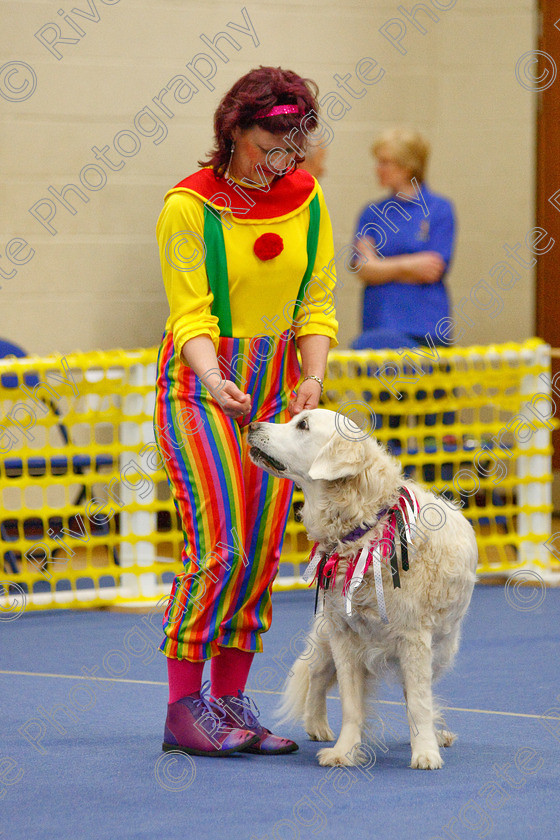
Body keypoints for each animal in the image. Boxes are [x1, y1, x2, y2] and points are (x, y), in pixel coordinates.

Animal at [248, 406, 476, 768]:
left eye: (302, 425)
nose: (252, 425)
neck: (365, 525)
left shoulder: (414, 639)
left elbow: (419, 702)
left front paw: (425, 751)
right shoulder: (343, 634)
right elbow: (351, 705)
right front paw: (344, 751)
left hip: (441, 648)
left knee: (417, 690)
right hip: (326, 635)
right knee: (316, 674)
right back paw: (317, 724)